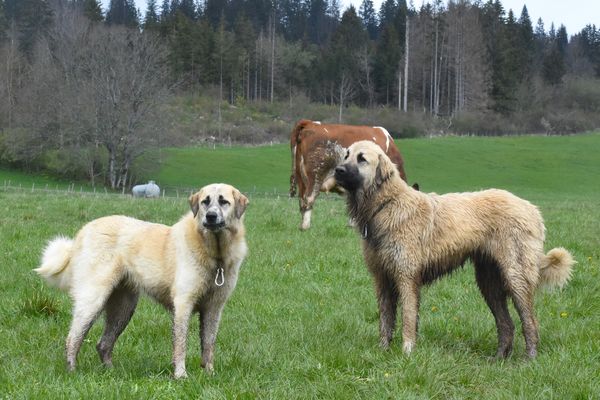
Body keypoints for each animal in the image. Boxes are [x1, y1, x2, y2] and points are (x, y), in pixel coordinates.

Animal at [35, 183, 248, 376]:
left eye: (224, 202)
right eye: (205, 202)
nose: (210, 216)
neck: (215, 254)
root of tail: (85, 229)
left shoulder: (213, 308)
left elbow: (209, 344)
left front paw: (209, 374)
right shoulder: (183, 304)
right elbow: (181, 344)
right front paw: (181, 375)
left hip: (123, 307)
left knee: (103, 344)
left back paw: (111, 372)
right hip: (94, 299)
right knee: (73, 338)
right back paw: (72, 372)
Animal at [336, 141, 576, 360]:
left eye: (362, 159)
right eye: (346, 155)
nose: (337, 170)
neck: (387, 204)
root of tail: (531, 208)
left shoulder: (406, 277)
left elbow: (408, 318)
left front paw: (407, 352)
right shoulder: (382, 278)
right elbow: (385, 320)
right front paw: (383, 351)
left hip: (515, 276)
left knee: (530, 321)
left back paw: (529, 358)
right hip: (489, 282)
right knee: (506, 323)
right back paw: (499, 358)